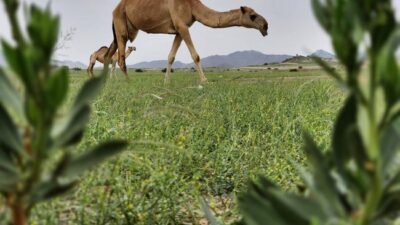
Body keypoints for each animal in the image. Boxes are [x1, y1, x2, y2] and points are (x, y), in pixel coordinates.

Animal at [105, 0, 268, 82]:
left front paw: (167, 81)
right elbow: (195, 55)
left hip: (124, 28)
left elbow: (171, 56)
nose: (266, 26)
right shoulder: (182, 25)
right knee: (120, 58)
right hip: (121, 25)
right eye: (253, 16)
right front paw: (204, 80)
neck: (192, 6)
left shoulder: (179, 29)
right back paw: (128, 82)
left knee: (112, 52)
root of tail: (114, 9)